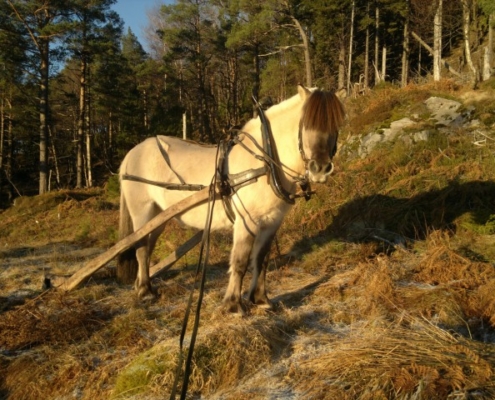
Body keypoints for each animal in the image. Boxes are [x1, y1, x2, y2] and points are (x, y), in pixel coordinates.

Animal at [118, 85, 346, 316]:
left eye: (336, 125)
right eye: (306, 124)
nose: (320, 168)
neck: (266, 163)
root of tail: (131, 154)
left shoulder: (271, 223)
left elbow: (261, 259)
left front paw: (260, 299)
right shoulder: (247, 222)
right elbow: (240, 261)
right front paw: (233, 304)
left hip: (158, 218)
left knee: (146, 247)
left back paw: (142, 285)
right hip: (143, 213)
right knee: (141, 249)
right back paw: (145, 291)